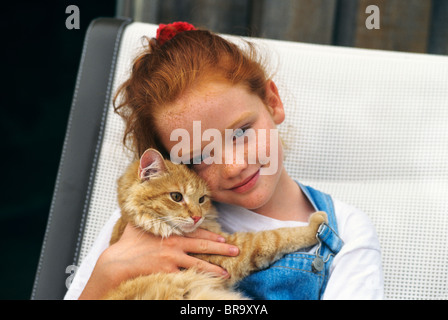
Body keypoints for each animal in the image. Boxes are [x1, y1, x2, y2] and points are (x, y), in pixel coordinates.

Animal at [103, 149, 328, 298]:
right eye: (176, 196)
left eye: (202, 199)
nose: (197, 217)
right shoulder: (234, 252)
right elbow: (279, 236)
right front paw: (316, 224)